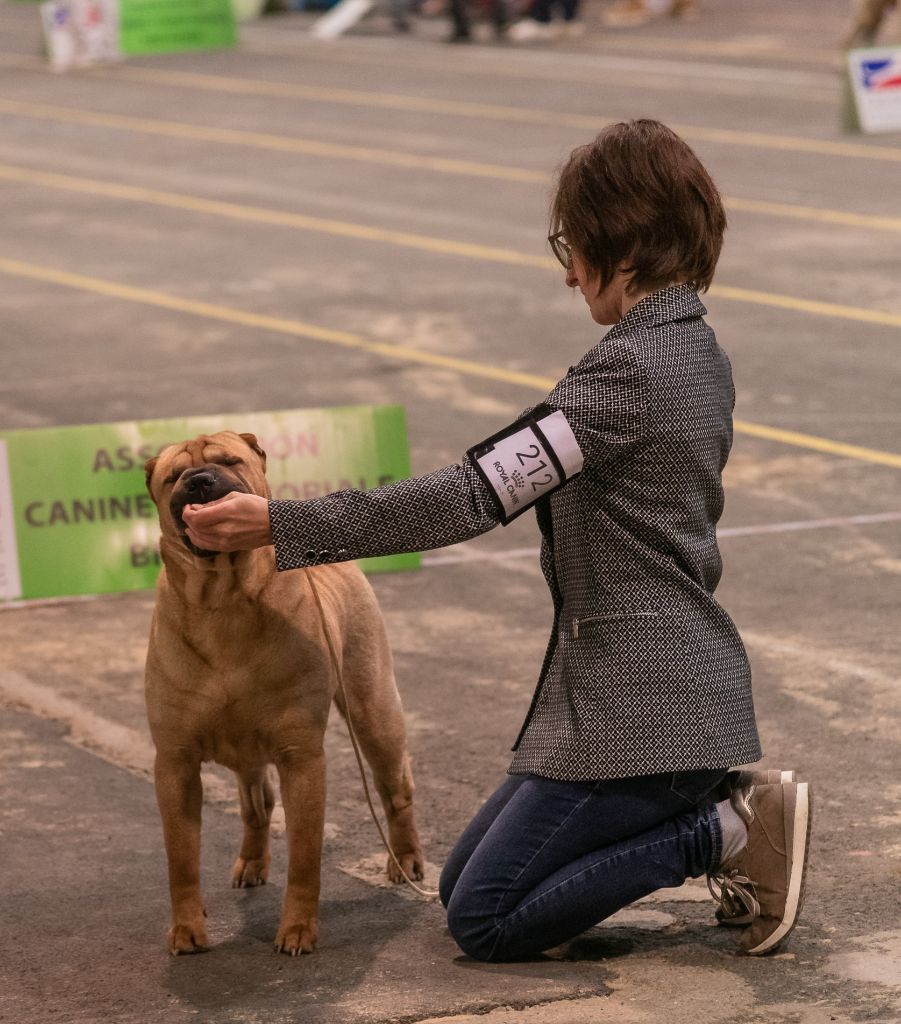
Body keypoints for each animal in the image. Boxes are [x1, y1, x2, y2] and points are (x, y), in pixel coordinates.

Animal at [144, 430, 425, 950]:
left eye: (229, 461)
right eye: (173, 476)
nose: (200, 481)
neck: (223, 598)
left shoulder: (302, 756)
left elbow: (305, 856)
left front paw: (296, 930)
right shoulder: (175, 761)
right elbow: (181, 858)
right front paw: (187, 929)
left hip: (373, 709)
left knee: (397, 787)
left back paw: (407, 860)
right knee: (257, 804)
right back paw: (251, 863)